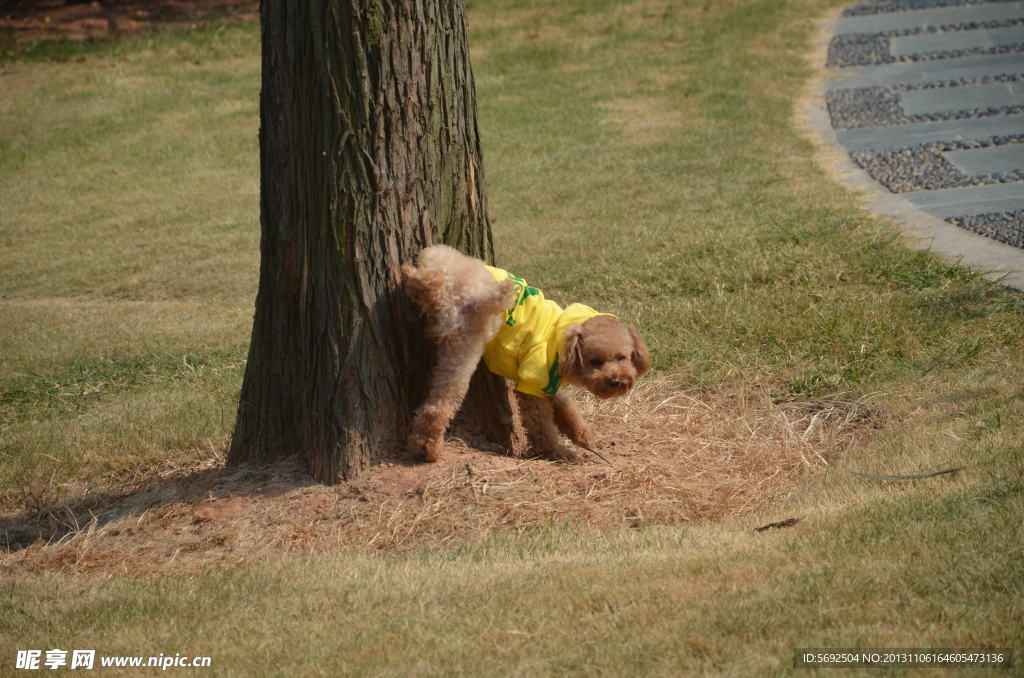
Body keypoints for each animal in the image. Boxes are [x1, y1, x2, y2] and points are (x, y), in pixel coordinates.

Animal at [399, 246, 647, 464]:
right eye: (595, 361)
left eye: (622, 357)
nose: (616, 381)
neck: (561, 335)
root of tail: (479, 298)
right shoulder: (534, 382)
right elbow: (542, 426)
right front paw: (559, 452)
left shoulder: (546, 381)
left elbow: (564, 405)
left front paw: (582, 436)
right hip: (466, 349)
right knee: (439, 407)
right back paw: (428, 449)